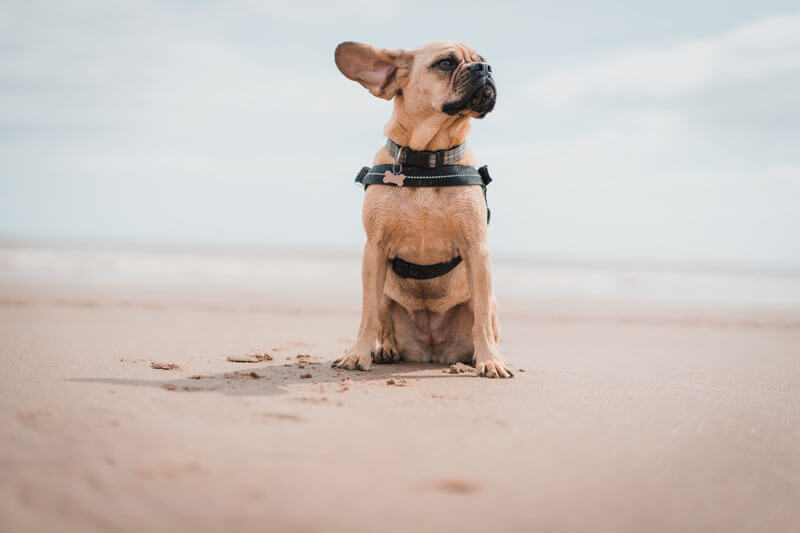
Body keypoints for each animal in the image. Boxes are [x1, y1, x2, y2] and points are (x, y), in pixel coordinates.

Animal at [332, 41, 512, 378]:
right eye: (446, 63)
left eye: (483, 61)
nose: (485, 68)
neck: (429, 158)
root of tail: (431, 351)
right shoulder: (374, 251)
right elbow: (367, 315)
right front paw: (358, 353)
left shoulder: (477, 251)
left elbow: (481, 319)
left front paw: (490, 360)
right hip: (387, 294)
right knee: (383, 321)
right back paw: (386, 350)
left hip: (489, 300)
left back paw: (482, 357)